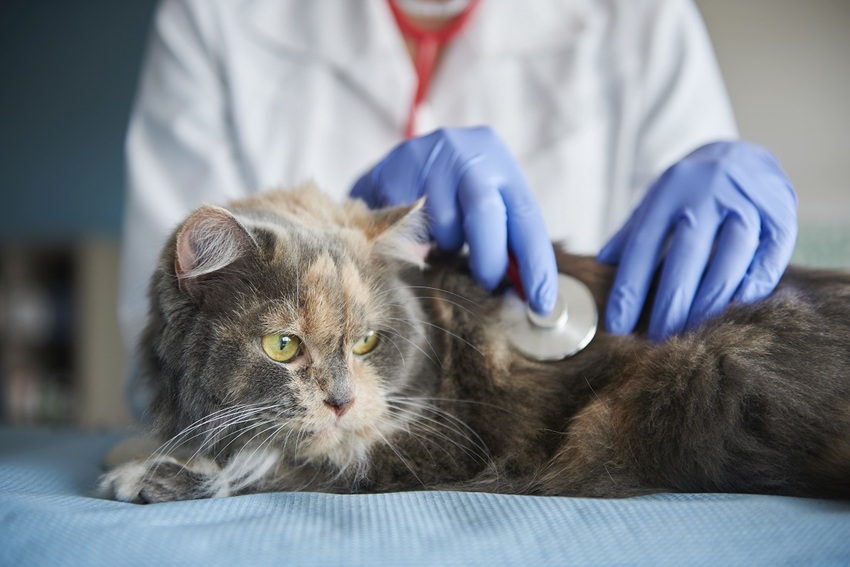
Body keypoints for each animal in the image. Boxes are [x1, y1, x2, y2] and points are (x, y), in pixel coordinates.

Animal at [99, 181, 848, 502]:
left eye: (367, 342)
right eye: (283, 346)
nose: (341, 401)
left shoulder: (441, 442)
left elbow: (284, 461)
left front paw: (150, 472)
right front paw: (139, 451)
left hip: (692, 378)